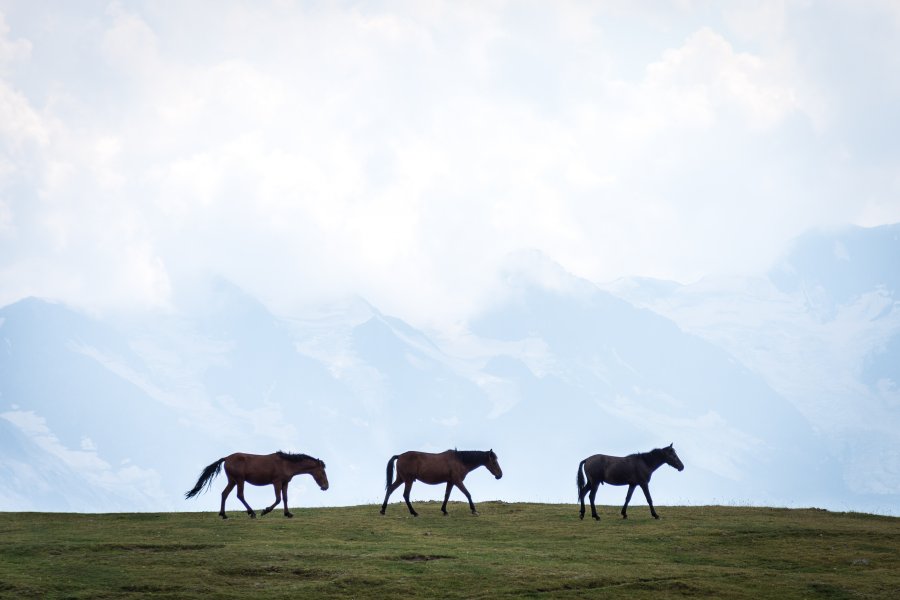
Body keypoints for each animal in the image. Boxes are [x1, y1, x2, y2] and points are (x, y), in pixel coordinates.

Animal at [185, 452, 328, 516]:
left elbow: (285, 498)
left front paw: (288, 514)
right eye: (322, 472)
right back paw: (252, 512)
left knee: (224, 494)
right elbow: (278, 499)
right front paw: (265, 511)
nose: (326, 486)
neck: (286, 463)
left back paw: (223, 514)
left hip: (232, 480)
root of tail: (226, 458)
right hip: (239, 480)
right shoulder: (276, 482)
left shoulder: (285, 483)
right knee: (240, 495)